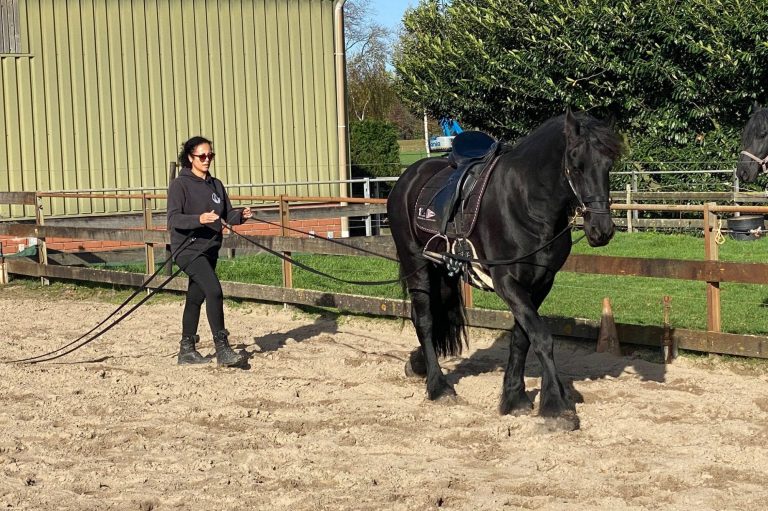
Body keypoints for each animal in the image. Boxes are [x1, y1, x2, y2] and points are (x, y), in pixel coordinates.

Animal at [386, 110, 624, 431]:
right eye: (576, 164)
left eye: (608, 165)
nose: (602, 230)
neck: (526, 202)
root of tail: (408, 177)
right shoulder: (507, 281)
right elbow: (542, 337)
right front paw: (556, 406)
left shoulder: (541, 283)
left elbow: (523, 338)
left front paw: (514, 398)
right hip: (416, 264)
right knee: (424, 320)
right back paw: (439, 387)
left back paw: (418, 364)